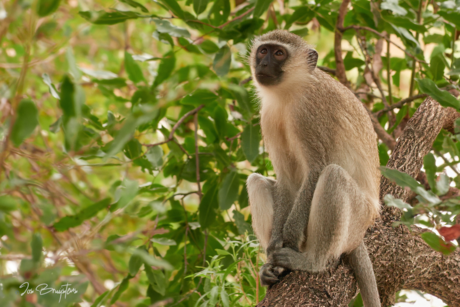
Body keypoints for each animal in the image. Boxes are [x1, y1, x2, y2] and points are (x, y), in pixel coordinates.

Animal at [248, 30, 380, 307]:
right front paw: (274, 246)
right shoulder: (268, 116)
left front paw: (288, 238)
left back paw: (311, 262)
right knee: (256, 181)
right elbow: (286, 180)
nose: (263, 64)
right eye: (263, 51)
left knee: (333, 175)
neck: (288, 93)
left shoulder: (309, 112)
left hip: (356, 221)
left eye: (279, 53)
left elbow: (317, 169)